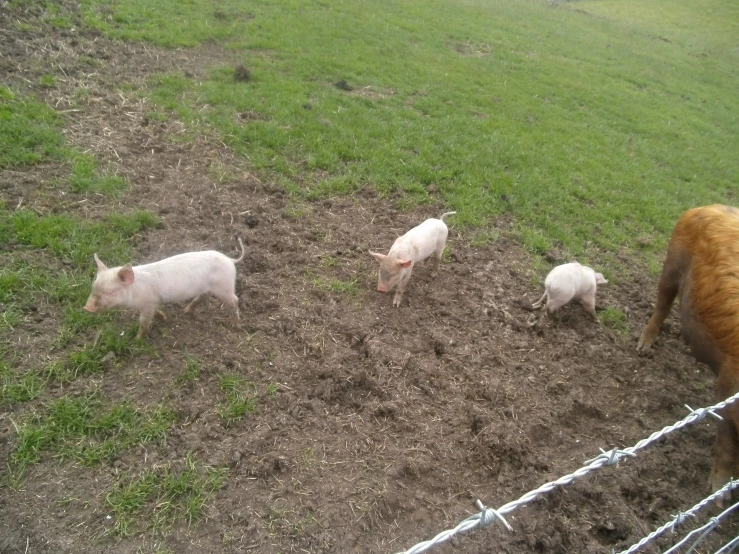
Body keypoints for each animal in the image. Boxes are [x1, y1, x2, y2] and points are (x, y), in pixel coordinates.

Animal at [84, 237, 246, 336]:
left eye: (110, 292)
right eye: (93, 287)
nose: (87, 308)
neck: (134, 293)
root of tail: (230, 260)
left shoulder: (148, 303)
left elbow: (144, 323)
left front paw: (137, 339)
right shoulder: (153, 302)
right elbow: (156, 313)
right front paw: (164, 318)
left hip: (224, 286)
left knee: (234, 300)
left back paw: (235, 325)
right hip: (209, 287)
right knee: (203, 296)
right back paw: (186, 311)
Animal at [636, 204, 739, 496]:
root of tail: (709, 206)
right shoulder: (729, 384)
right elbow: (727, 437)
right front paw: (717, 493)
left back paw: (684, 341)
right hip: (672, 262)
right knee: (663, 302)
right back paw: (642, 349)